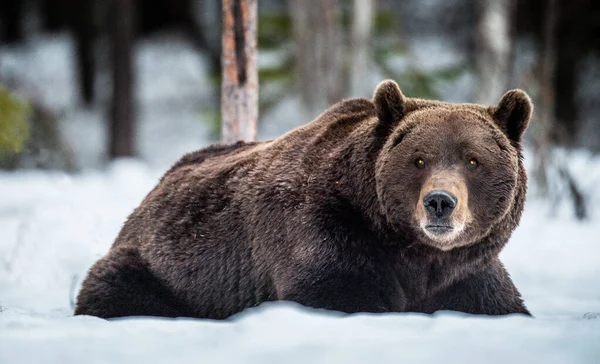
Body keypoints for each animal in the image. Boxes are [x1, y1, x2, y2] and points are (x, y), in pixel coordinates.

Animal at [76, 80, 536, 318]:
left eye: (473, 160)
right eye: (419, 159)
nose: (440, 202)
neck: (416, 255)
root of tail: (152, 190)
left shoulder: (468, 275)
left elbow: (500, 303)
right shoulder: (324, 233)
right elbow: (339, 293)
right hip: (160, 267)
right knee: (115, 285)